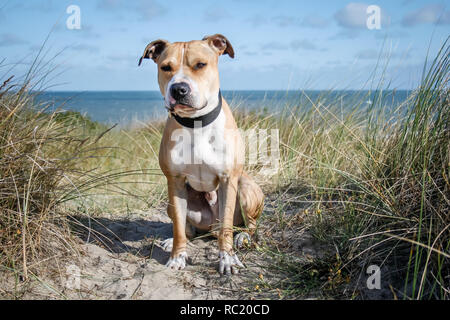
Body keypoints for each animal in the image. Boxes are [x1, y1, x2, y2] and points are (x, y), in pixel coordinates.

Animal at [138, 34, 264, 276]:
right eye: (165, 67)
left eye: (200, 65)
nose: (179, 89)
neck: (196, 124)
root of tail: (210, 228)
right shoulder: (175, 181)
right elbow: (178, 228)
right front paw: (177, 257)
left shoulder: (228, 180)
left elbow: (227, 228)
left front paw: (227, 260)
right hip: (172, 203)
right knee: (189, 230)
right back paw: (172, 241)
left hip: (245, 189)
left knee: (246, 226)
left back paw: (242, 237)